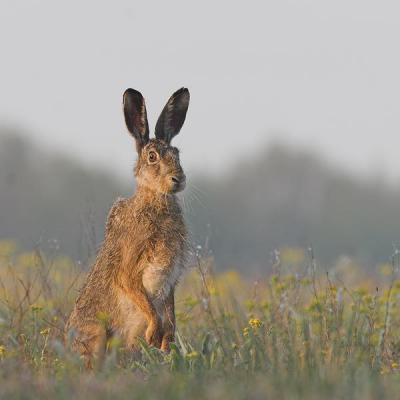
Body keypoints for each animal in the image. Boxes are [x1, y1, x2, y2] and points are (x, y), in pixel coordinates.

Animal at [65, 87, 190, 368]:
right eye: (152, 157)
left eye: (177, 153)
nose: (178, 179)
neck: (155, 201)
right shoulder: (129, 266)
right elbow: (137, 292)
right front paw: (154, 333)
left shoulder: (171, 279)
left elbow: (169, 312)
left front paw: (165, 340)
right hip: (98, 334)